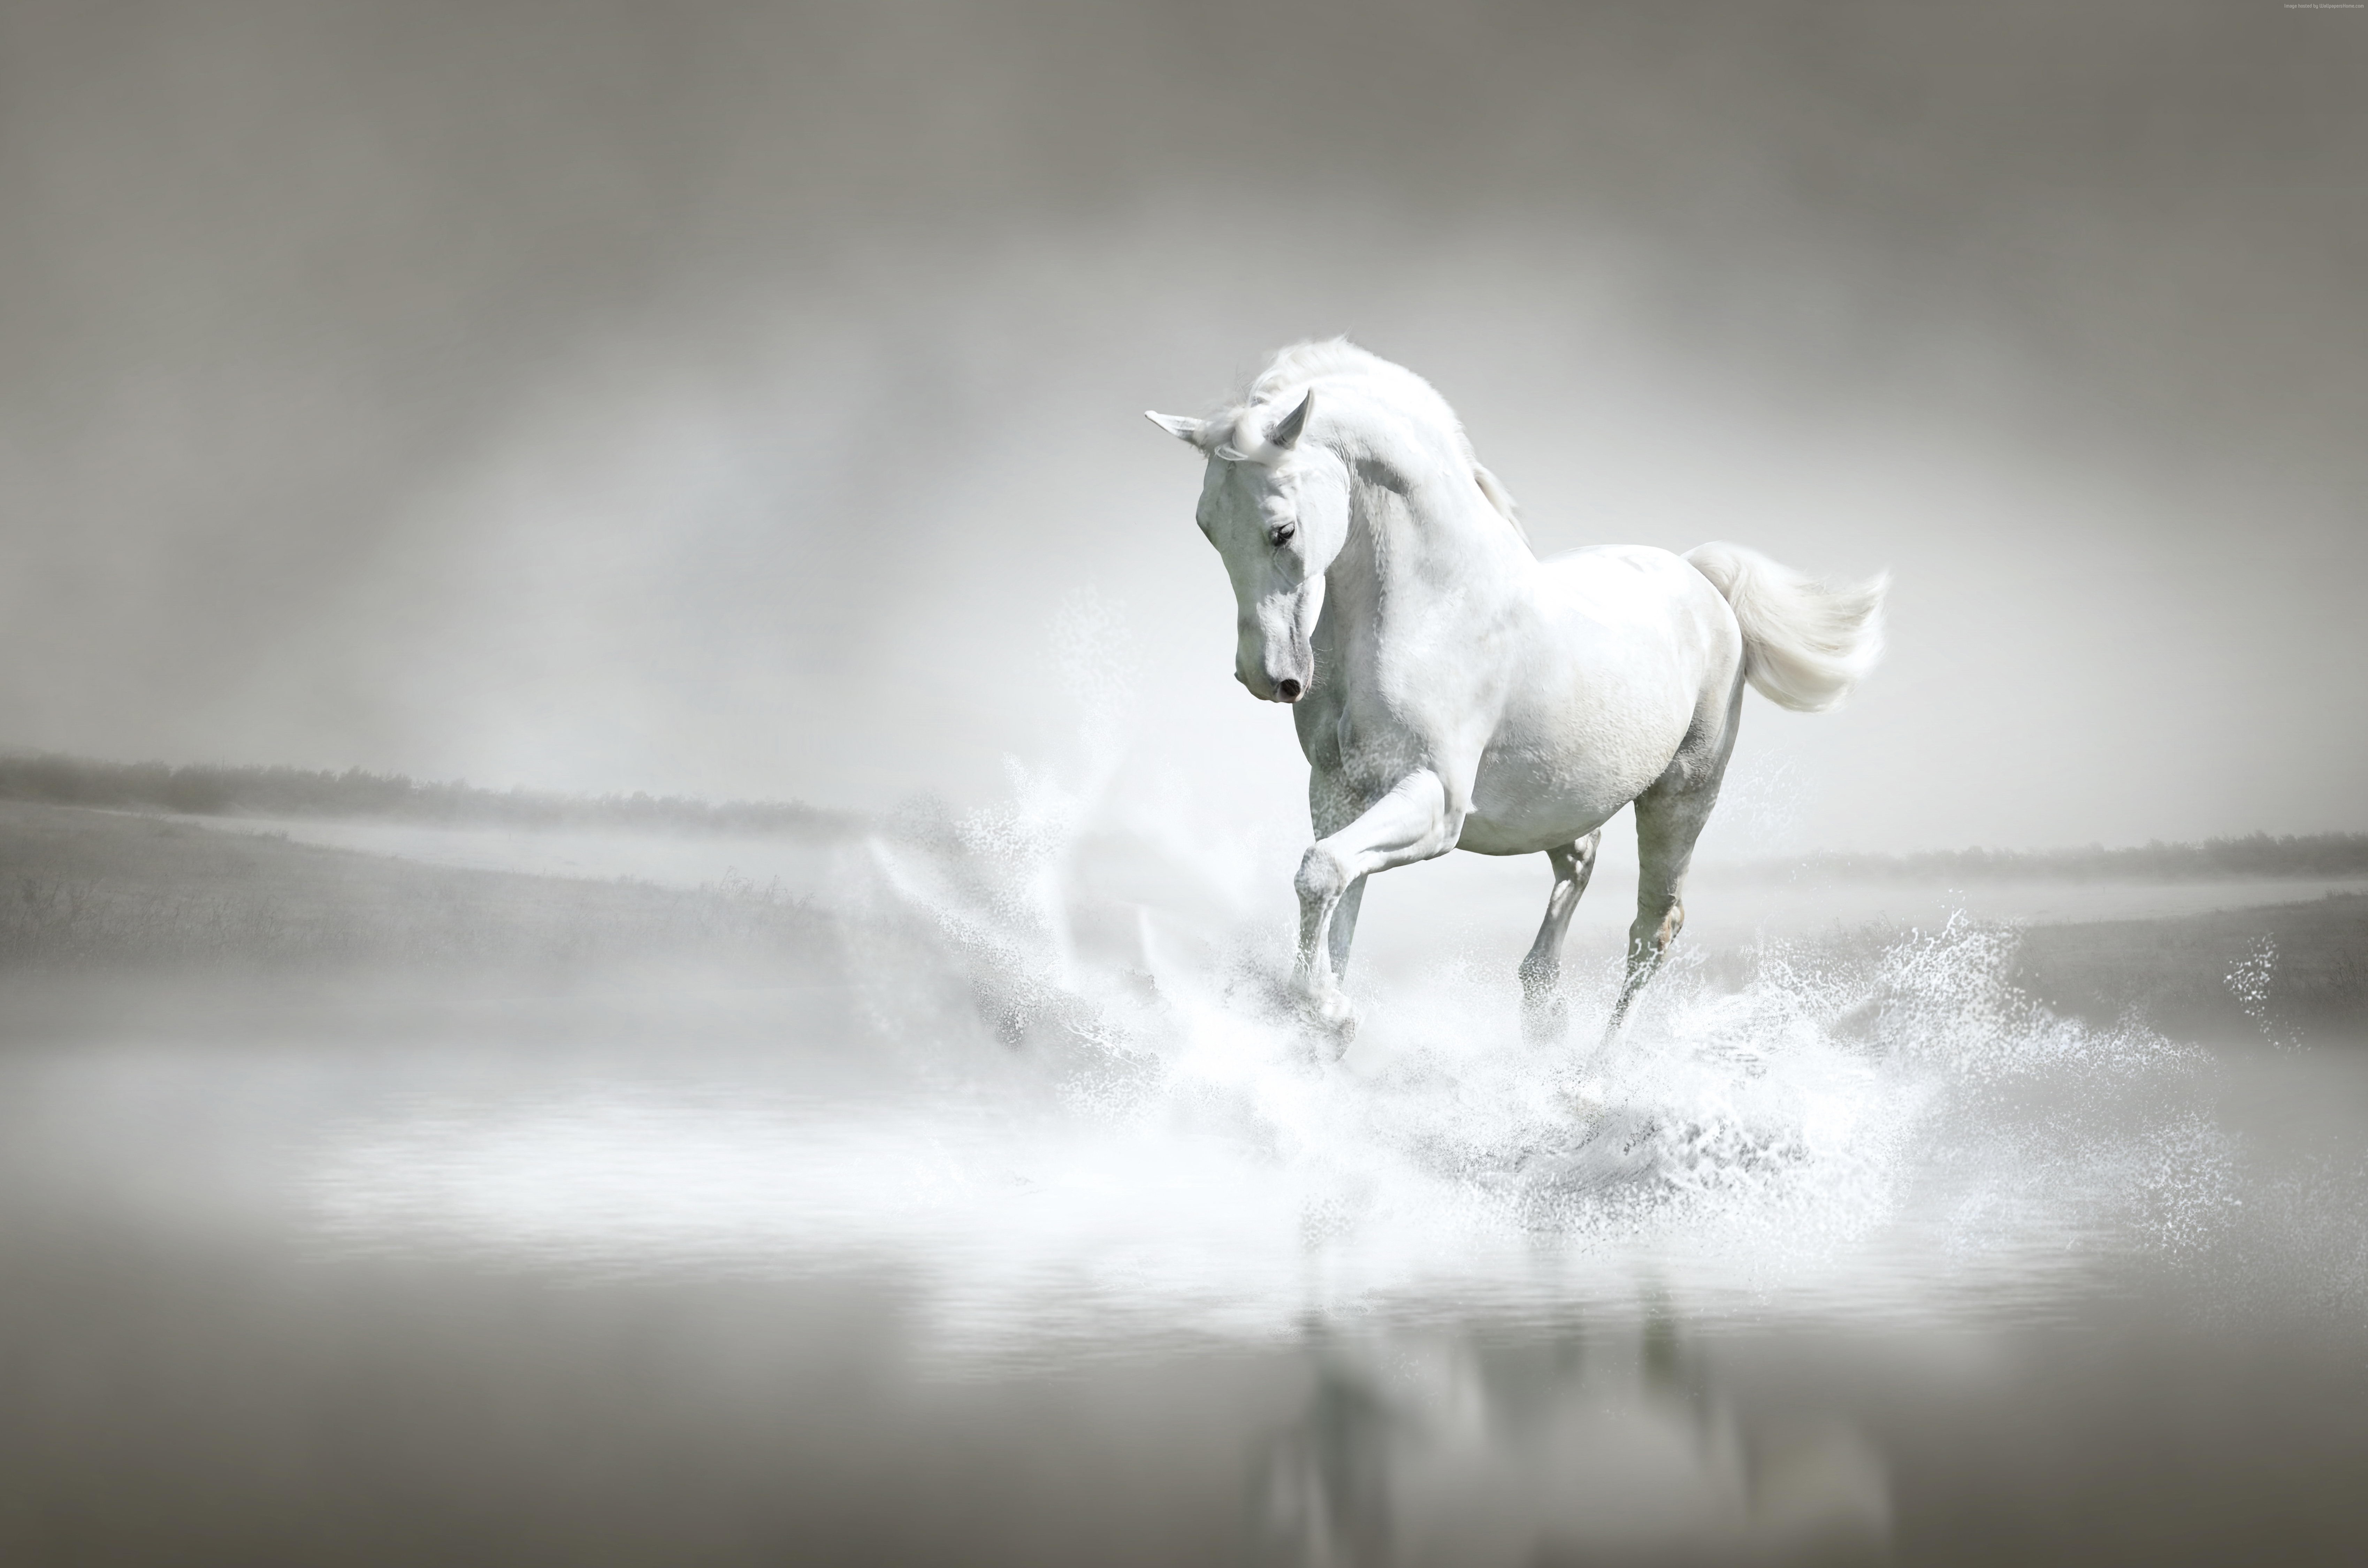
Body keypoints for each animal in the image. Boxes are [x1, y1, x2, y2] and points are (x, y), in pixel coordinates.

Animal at [1146, 340, 1885, 1044]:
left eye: (1282, 530)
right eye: (1207, 528)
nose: (1267, 677)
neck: (1431, 606)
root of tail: (1700, 580)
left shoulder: (1434, 801)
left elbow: (1322, 873)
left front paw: (1329, 1015)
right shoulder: (1339, 792)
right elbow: (1335, 897)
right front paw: (1322, 1021)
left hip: (1681, 797)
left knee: (1652, 929)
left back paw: (1594, 1071)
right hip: (1562, 798)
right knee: (1580, 864)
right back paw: (1543, 1012)